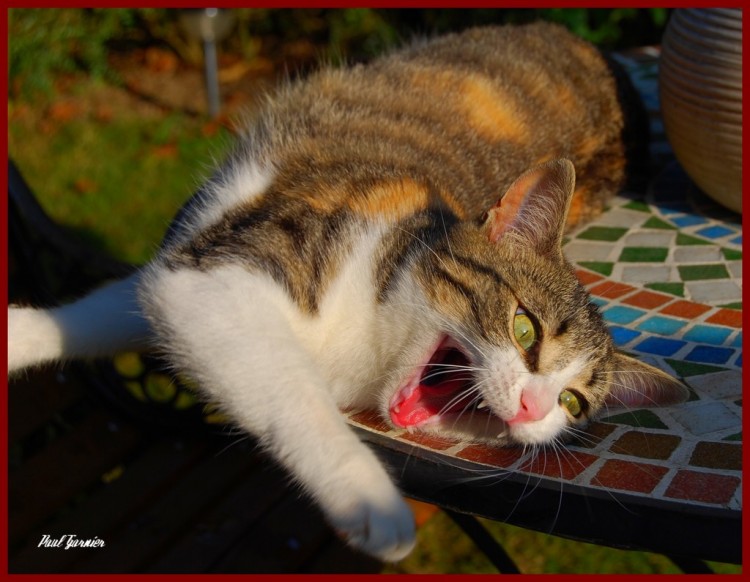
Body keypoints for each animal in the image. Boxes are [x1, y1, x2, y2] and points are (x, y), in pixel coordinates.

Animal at [5, 24, 692, 564]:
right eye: (526, 328)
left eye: (574, 404)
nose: (533, 407)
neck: (371, 337)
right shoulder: (222, 267)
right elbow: (277, 381)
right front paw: (370, 497)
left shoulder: (197, 272)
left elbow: (128, 306)